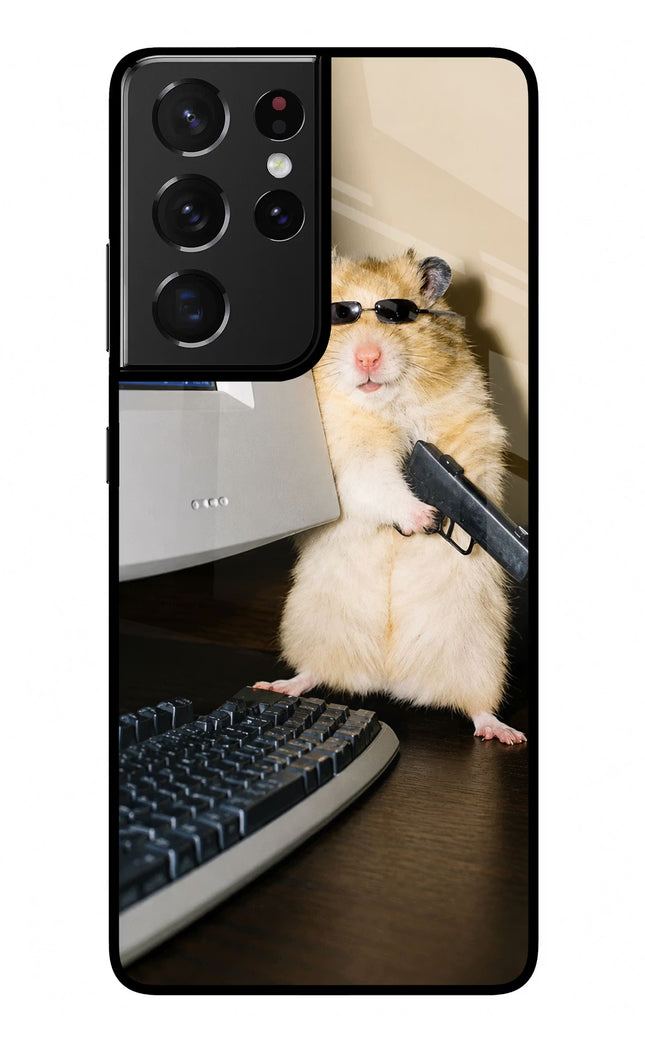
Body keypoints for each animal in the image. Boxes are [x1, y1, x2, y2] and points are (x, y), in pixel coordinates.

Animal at [256, 250, 526, 744]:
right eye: (339, 315)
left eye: (397, 315)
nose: (368, 357)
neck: (384, 405)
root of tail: (389, 679)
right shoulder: (348, 461)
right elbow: (378, 483)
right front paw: (423, 518)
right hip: (311, 626)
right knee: (314, 672)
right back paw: (279, 685)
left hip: (480, 654)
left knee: (477, 706)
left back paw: (504, 733)